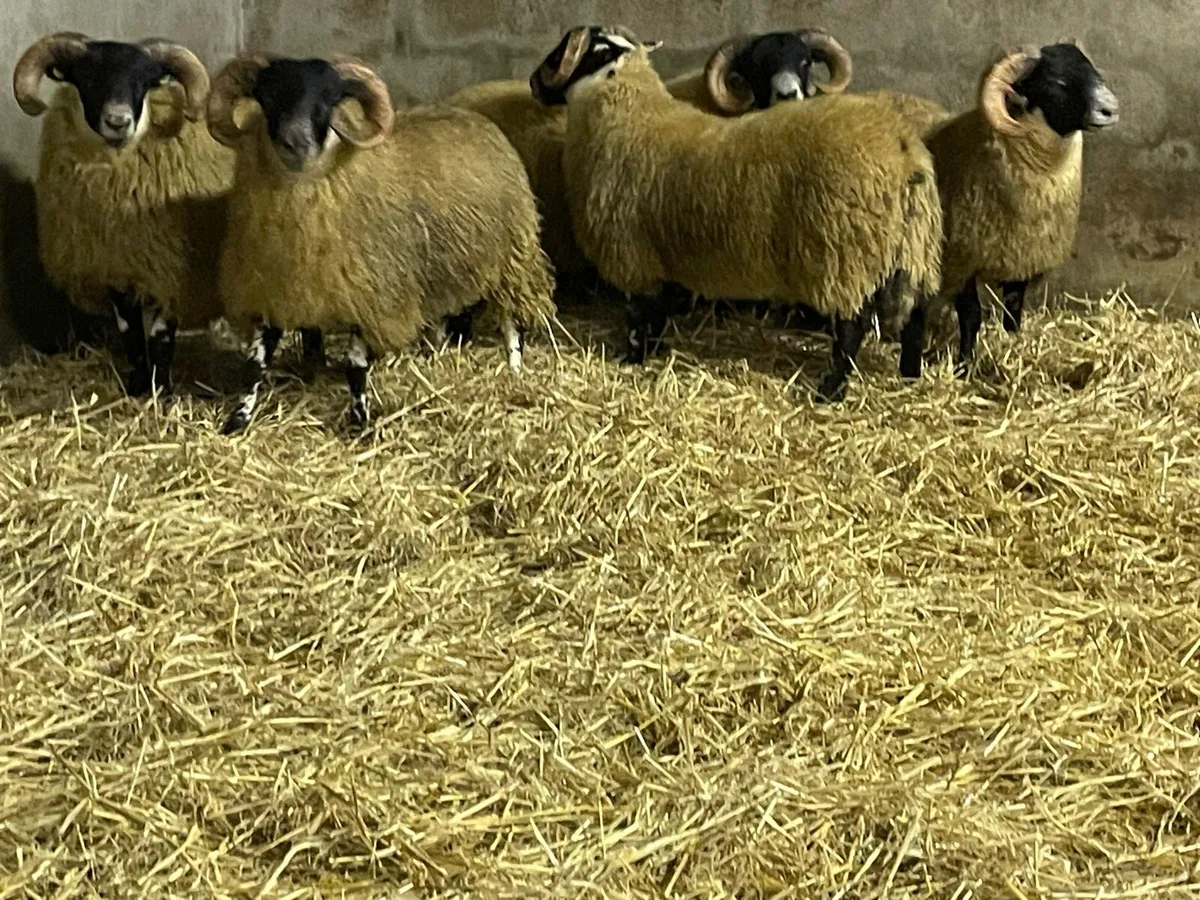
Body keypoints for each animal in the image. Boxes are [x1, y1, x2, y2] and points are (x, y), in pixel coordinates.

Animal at [13, 32, 236, 396]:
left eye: (144, 81)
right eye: (88, 77)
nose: (118, 122)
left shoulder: (172, 268)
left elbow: (160, 338)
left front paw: (161, 390)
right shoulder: (117, 266)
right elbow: (130, 334)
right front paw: (137, 385)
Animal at [207, 53, 555, 433]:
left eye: (329, 99)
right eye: (267, 96)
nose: (296, 142)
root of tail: (475, 118)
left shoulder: (374, 296)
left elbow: (355, 365)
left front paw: (359, 421)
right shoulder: (272, 291)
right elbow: (255, 364)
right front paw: (238, 419)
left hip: (513, 258)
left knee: (511, 320)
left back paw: (514, 369)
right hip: (448, 265)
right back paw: (434, 356)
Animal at [531, 26, 943, 403]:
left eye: (565, 52)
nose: (534, 82)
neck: (628, 112)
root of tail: (901, 148)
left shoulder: (630, 254)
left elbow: (639, 315)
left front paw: (633, 357)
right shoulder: (659, 256)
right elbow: (658, 313)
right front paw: (655, 351)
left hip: (843, 255)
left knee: (852, 327)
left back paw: (831, 390)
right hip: (913, 246)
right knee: (915, 316)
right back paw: (909, 374)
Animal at [926, 44, 1118, 370]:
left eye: (1094, 72)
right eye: (1057, 82)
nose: (1111, 109)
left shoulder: (1022, 256)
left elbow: (1013, 314)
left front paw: (1012, 345)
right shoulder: (962, 257)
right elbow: (971, 316)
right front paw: (965, 364)